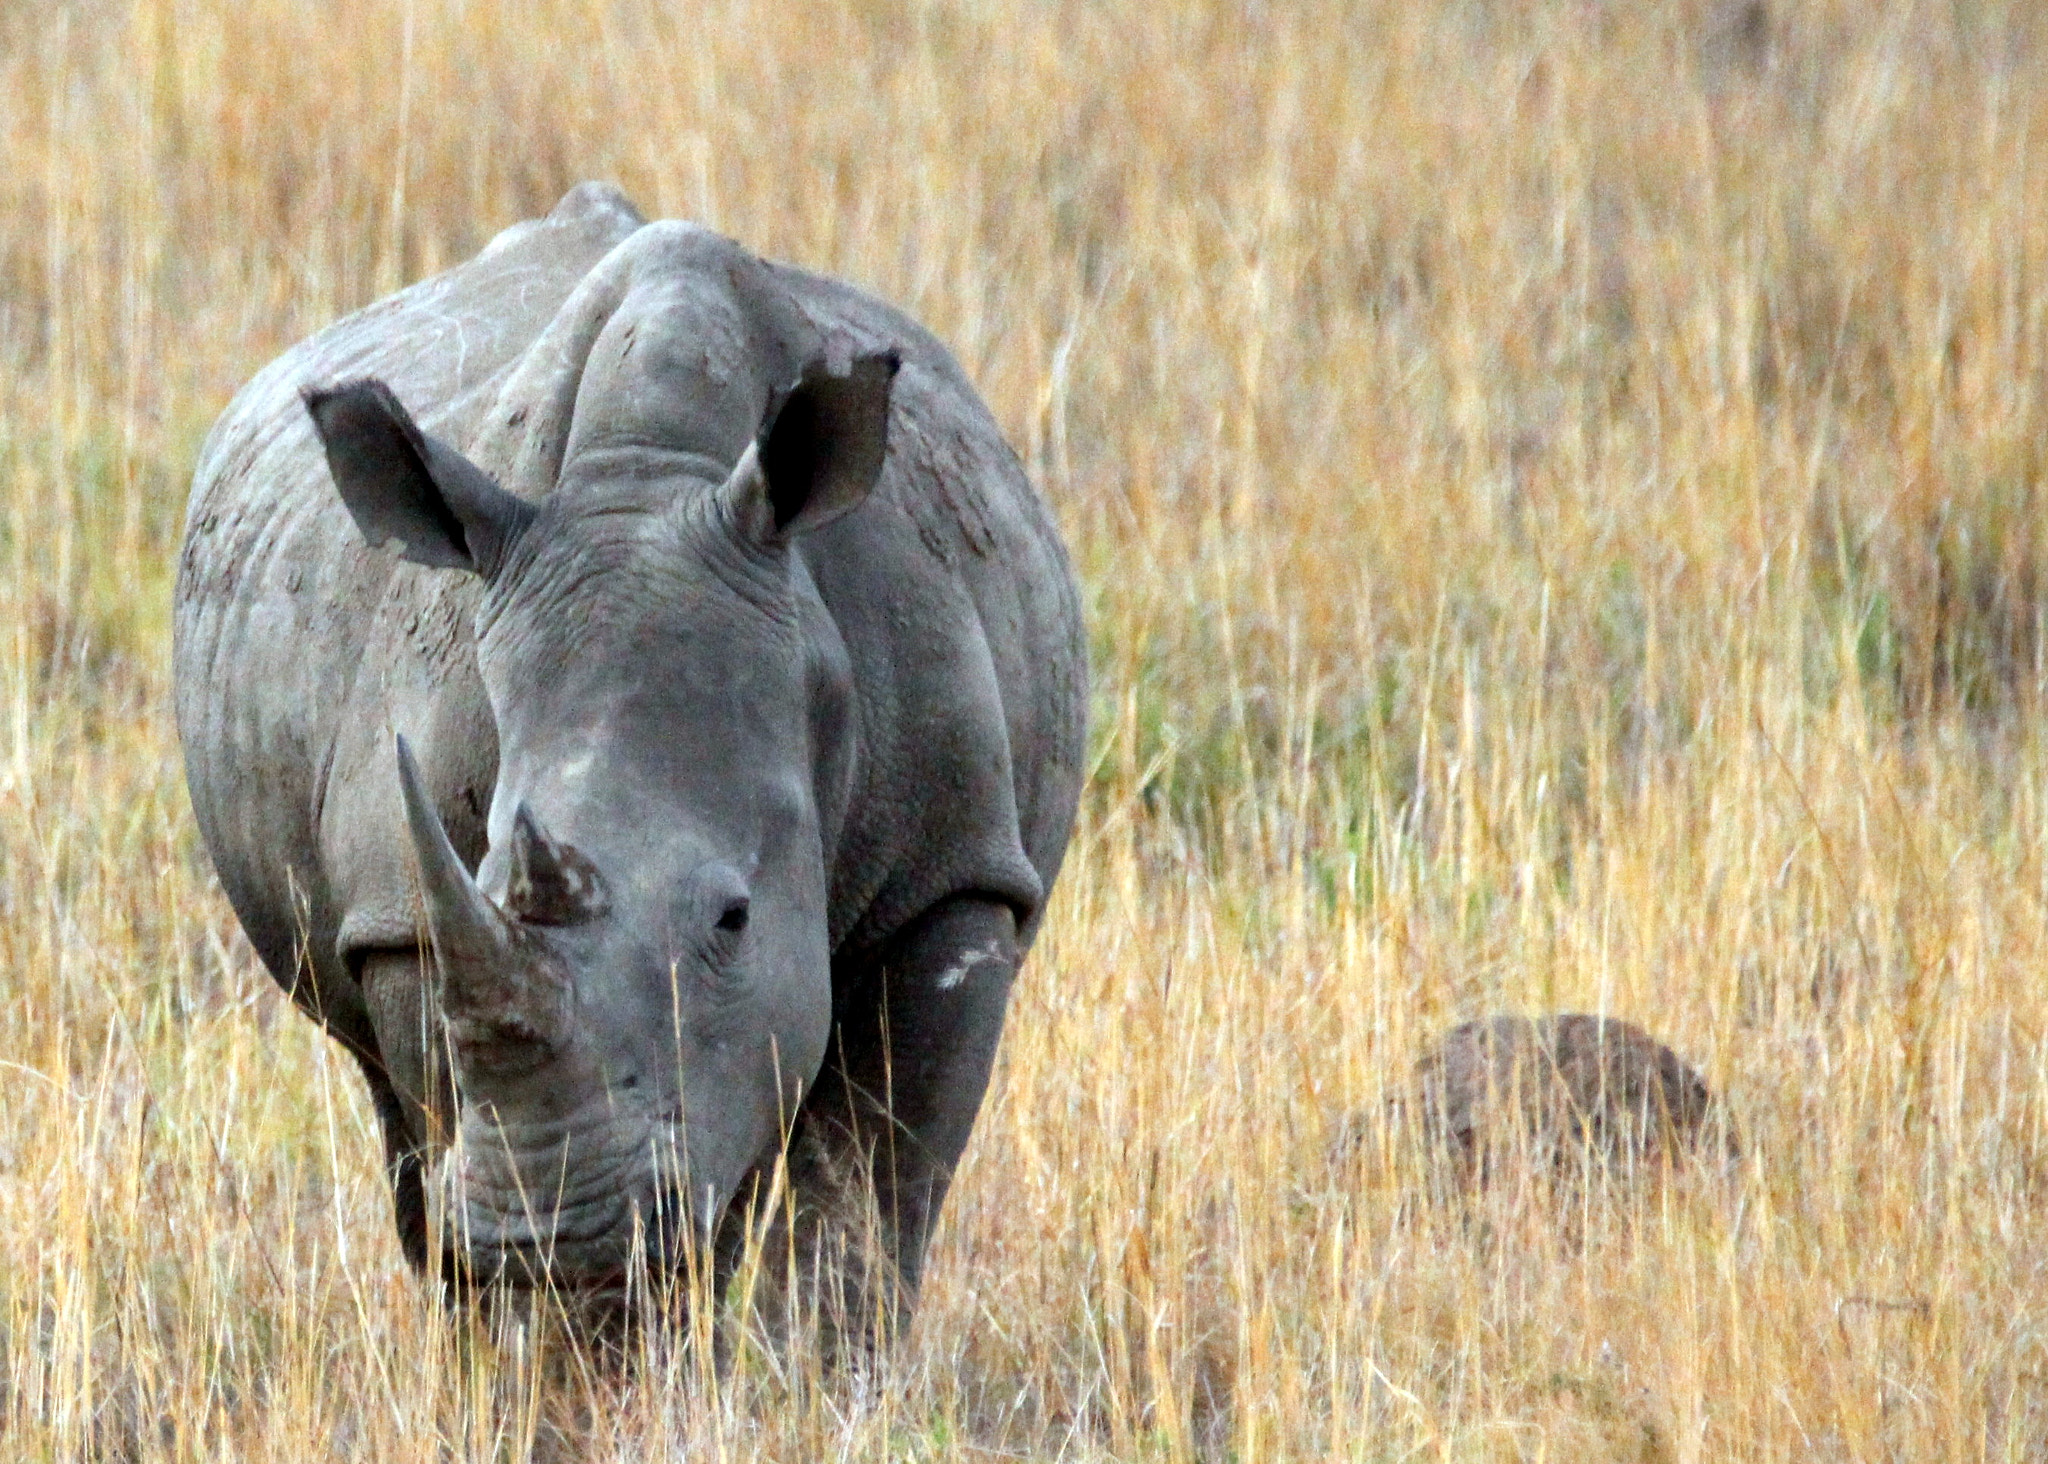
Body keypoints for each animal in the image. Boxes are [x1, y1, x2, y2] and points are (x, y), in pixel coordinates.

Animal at [172, 183, 1086, 1333]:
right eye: (485, 884)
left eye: (733, 917)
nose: (555, 1236)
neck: (652, 479)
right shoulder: (407, 921)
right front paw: (553, 1353)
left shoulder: (953, 871)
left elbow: (863, 1210)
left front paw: (815, 1370)